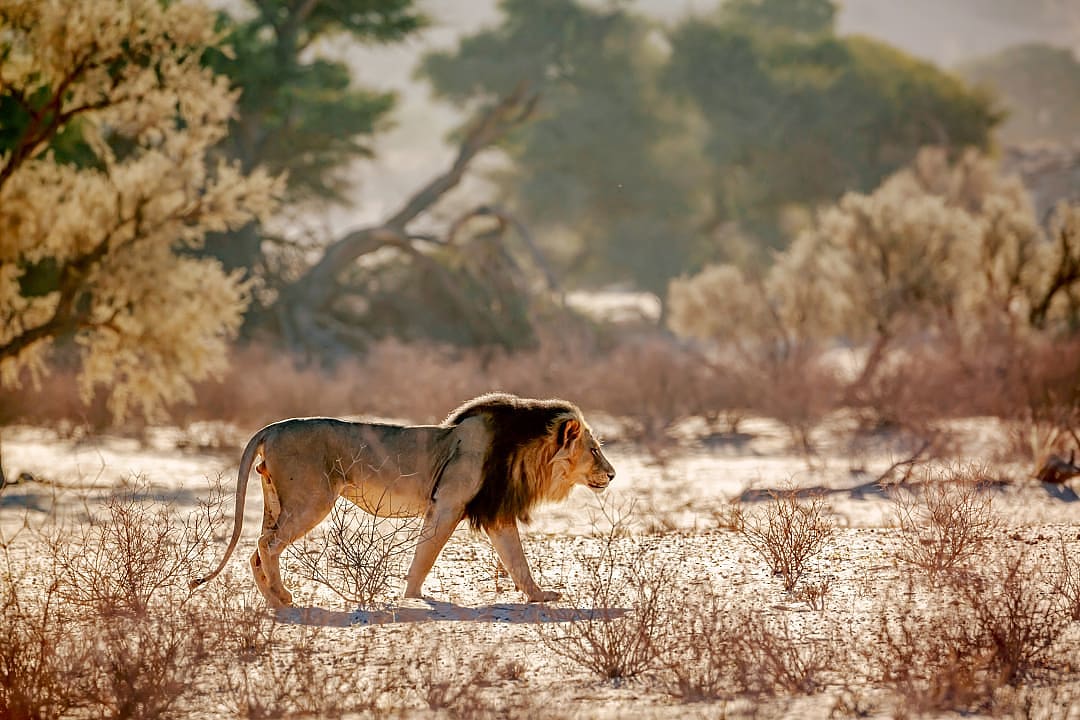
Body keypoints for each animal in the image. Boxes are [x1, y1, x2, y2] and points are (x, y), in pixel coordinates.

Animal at [191, 393, 616, 608]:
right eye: (595, 450)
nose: (612, 474)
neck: (528, 452)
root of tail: (273, 427)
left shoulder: (495, 513)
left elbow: (517, 561)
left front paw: (540, 596)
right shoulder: (447, 503)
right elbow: (426, 554)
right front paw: (413, 597)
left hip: (278, 500)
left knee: (256, 549)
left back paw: (274, 600)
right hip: (312, 499)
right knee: (267, 543)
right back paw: (281, 595)